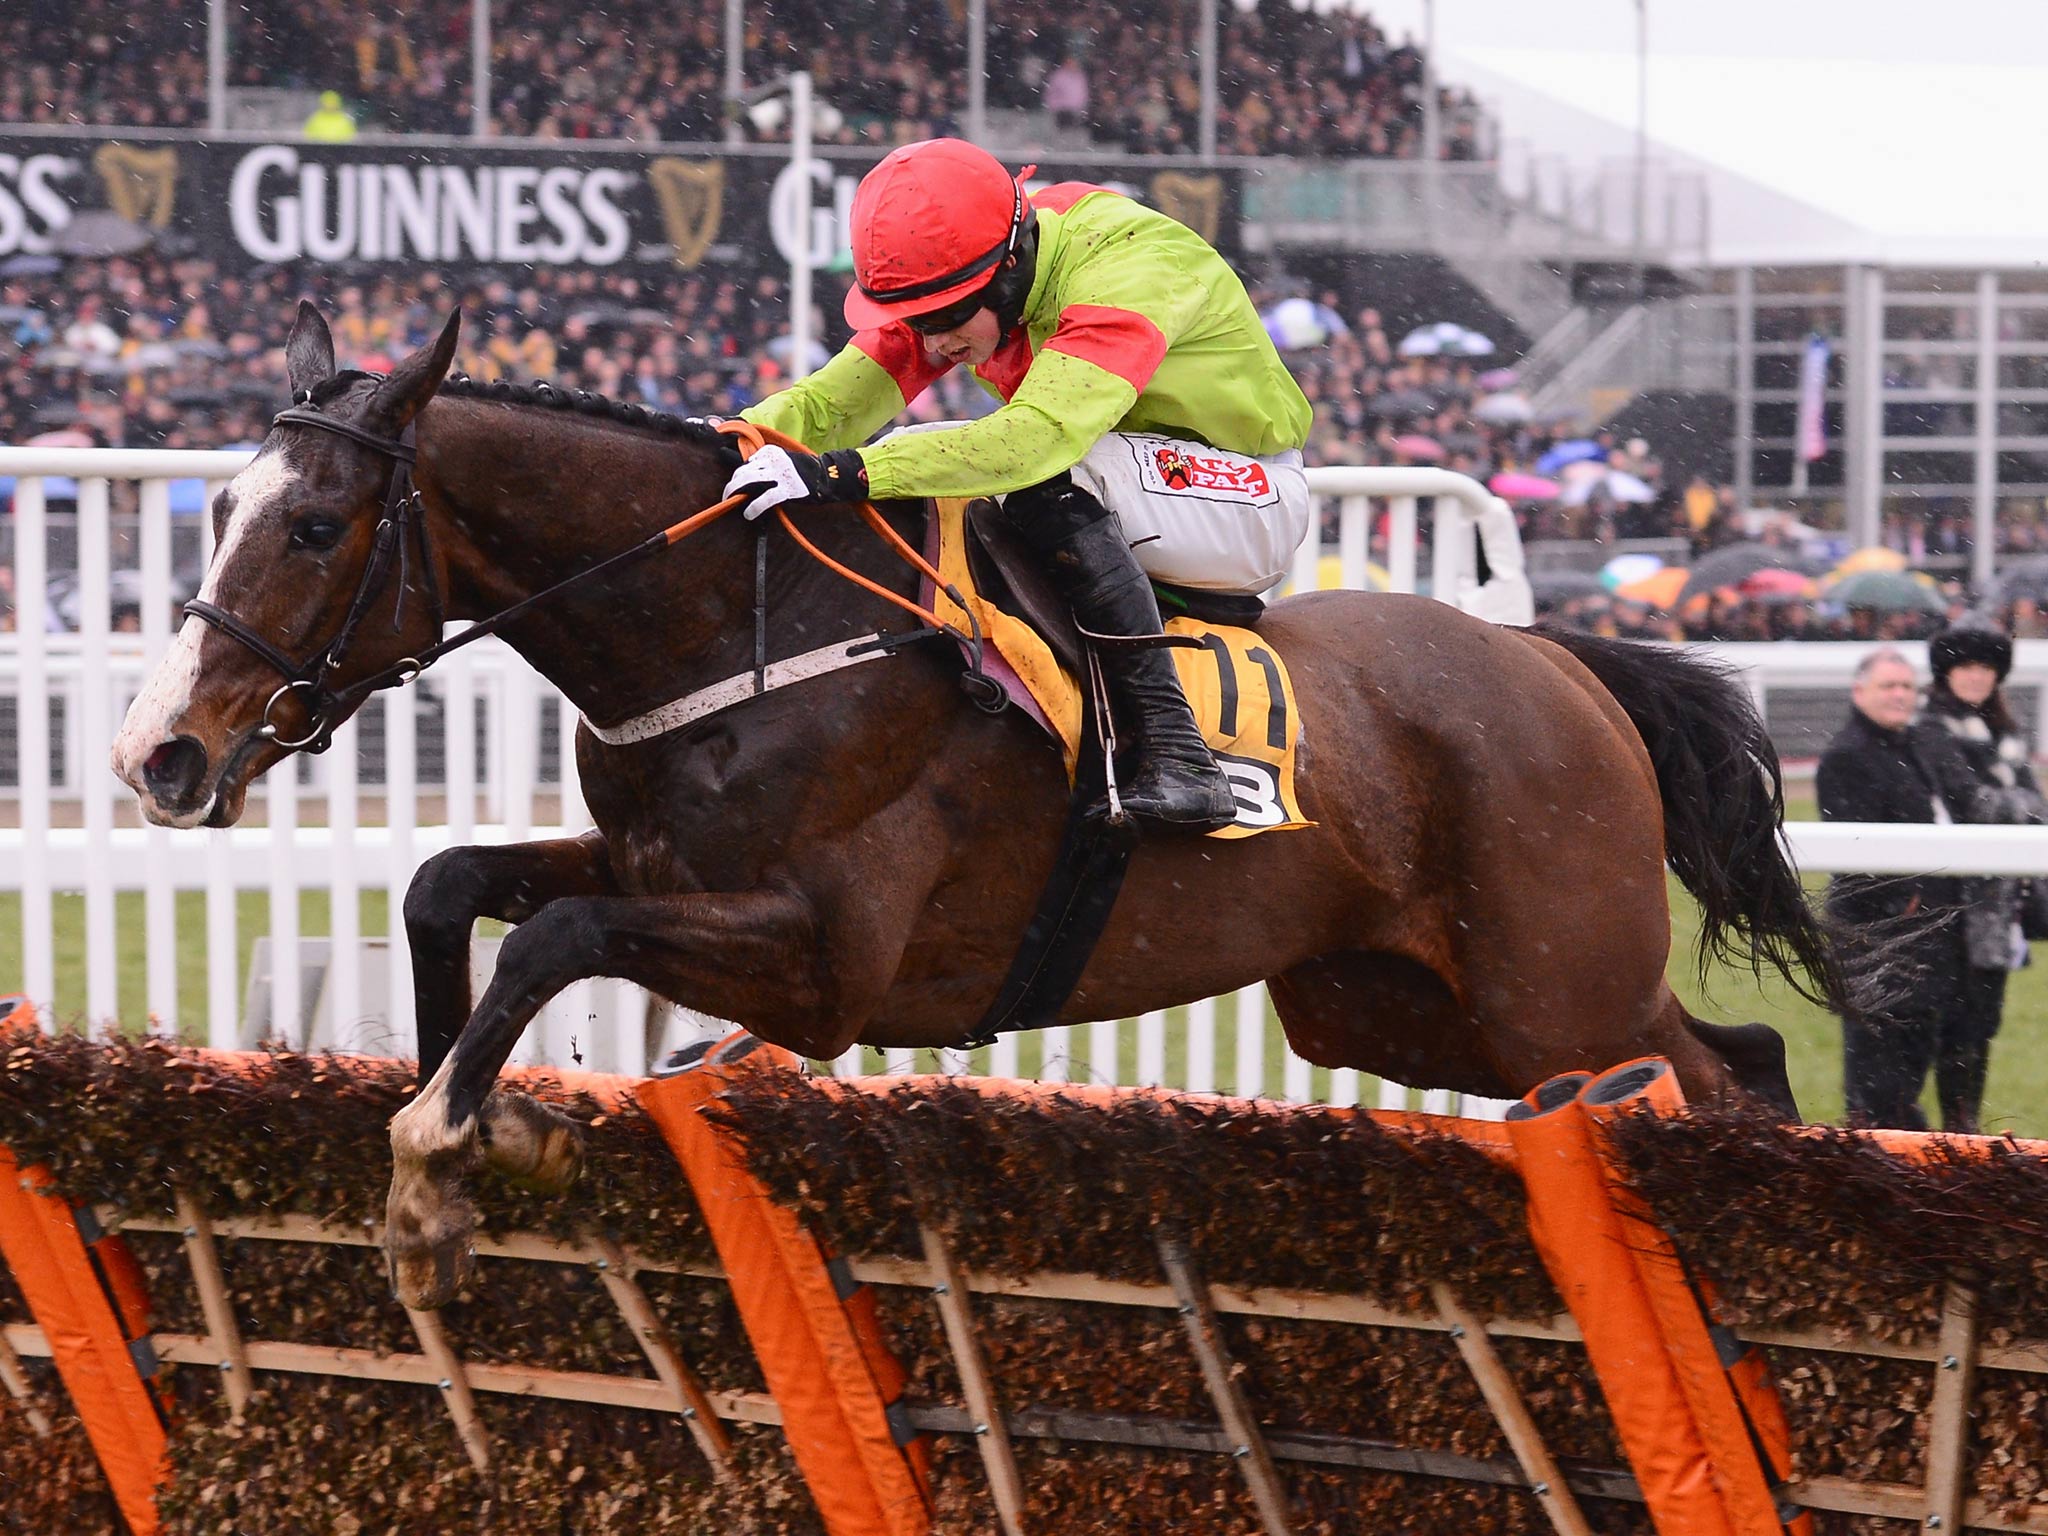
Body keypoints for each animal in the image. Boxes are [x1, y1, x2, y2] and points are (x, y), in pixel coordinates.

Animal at [108, 303, 1843, 1310]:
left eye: (315, 524)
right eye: (218, 506)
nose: (159, 756)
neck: (749, 625)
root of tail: (1557, 661)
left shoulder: (824, 965)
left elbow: (555, 940)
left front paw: (443, 1157)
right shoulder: (655, 856)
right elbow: (453, 886)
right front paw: (470, 1115)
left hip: (1551, 983)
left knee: (1698, 1075)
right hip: (1397, 1006)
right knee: (1732, 1063)